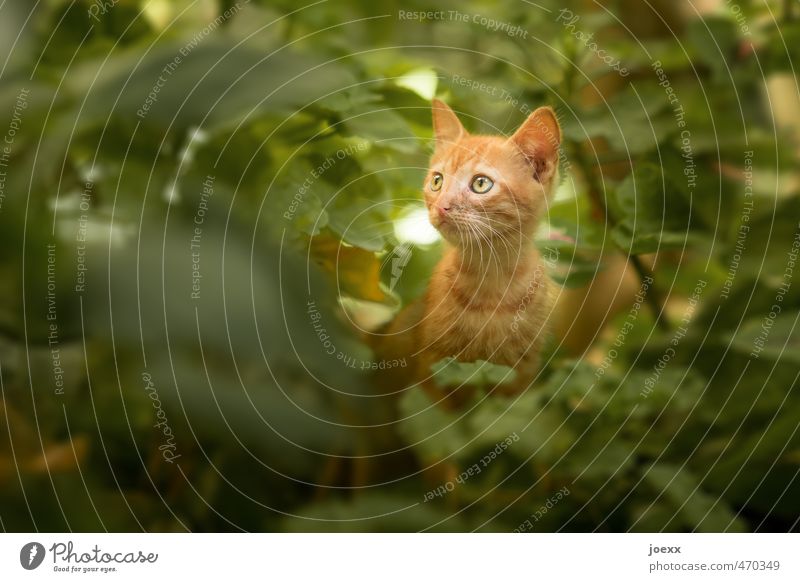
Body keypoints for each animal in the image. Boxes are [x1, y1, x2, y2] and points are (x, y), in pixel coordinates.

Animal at [376, 99, 564, 406]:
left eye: (480, 184)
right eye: (437, 181)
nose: (441, 206)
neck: (491, 283)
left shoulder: (520, 374)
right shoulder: (433, 369)